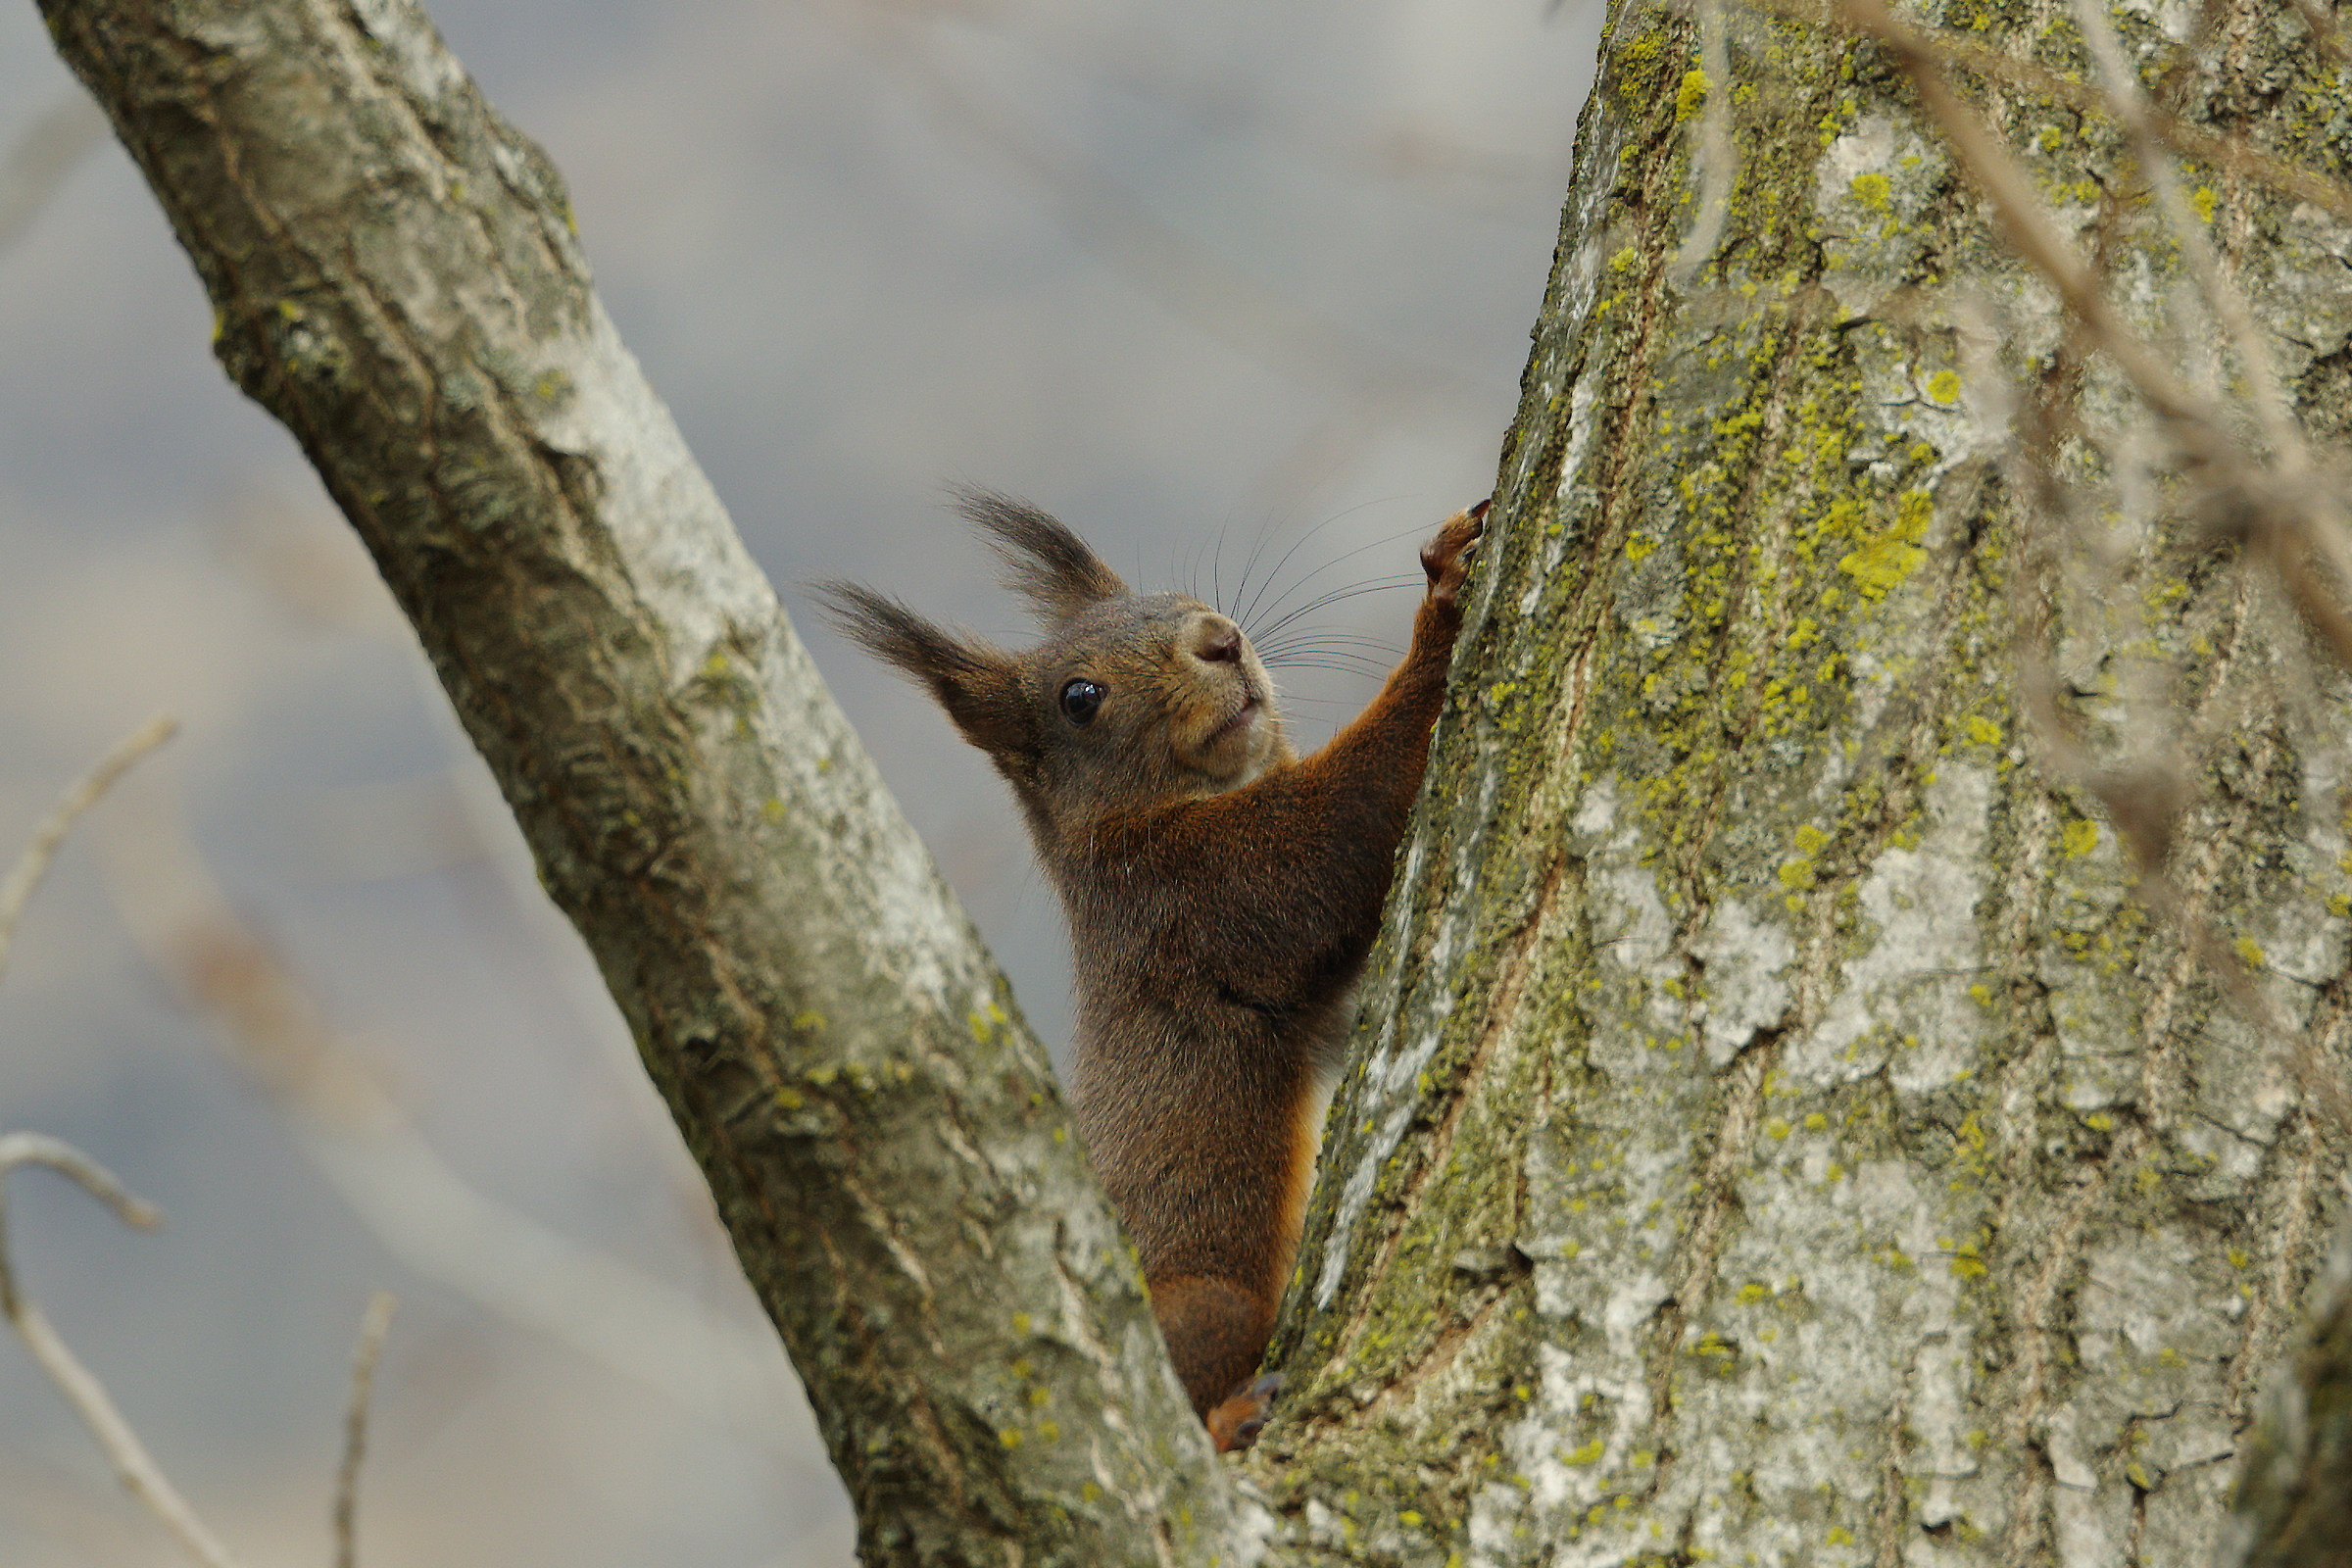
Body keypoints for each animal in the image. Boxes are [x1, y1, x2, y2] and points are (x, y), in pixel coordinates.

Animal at [817, 493, 1485, 1451]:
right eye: (1080, 698)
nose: (1221, 638)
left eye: (1173, 596)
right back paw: (1233, 1420)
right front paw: (1442, 604)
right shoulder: (1194, 899)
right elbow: (1340, 826)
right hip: (1207, 1303)